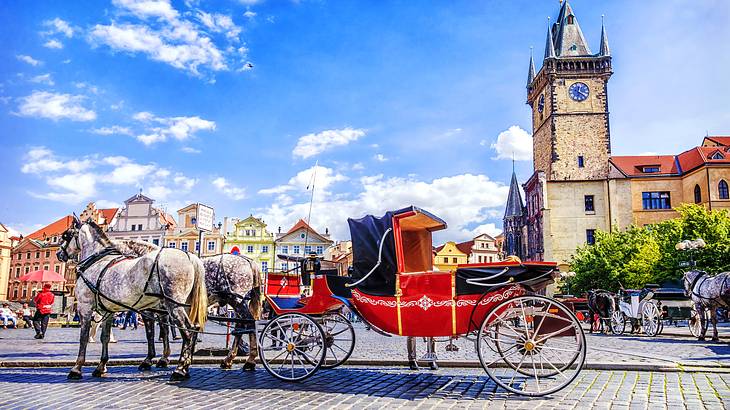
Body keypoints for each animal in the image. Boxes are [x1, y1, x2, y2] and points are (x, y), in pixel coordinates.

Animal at [55, 218, 205, 382]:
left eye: (66, 236)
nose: (58, 253)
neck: (97, 261)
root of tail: (189, 256)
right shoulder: (109, 310)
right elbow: (105, 337)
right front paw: (101, 367)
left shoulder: (85, 307)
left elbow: (83, 338)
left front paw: (76, 369)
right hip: (185, 306)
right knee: (195, 328)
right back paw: (186, 365)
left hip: (174, 305)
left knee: (188, 331)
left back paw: (180, 370)